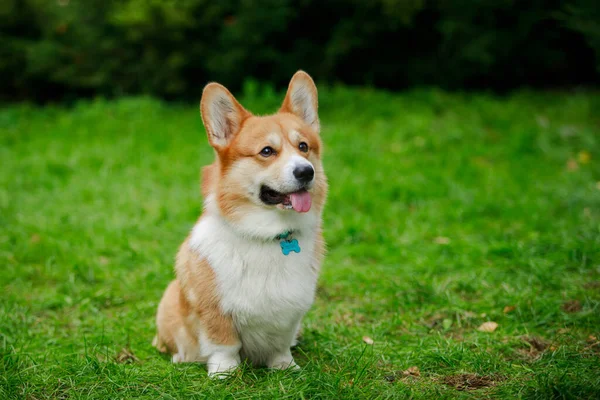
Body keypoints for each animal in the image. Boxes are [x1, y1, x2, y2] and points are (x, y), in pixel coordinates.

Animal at [152, 70, 326, 376]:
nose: (306, 172)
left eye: (304, 147)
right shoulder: (215, 311)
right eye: (267, 151)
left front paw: (285, 366)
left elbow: (281, 343)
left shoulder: (291, 312)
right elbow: (224, 343)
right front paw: (224, 373)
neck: (270, 235)